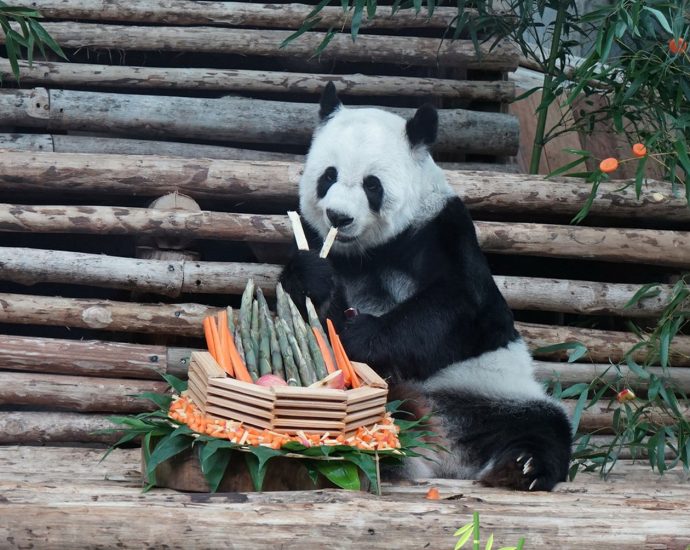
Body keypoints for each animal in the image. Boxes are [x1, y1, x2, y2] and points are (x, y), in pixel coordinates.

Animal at [280, 84, 568, 494]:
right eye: (328, 176)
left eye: (372, 184)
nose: (339, 217)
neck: (367, 251)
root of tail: (443, 455)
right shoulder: (318, 239)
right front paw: (313, 279)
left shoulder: (440, 230)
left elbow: (459, 306)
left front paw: (359, 336)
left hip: (498, 393)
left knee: (544, 426)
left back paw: (522, 467)